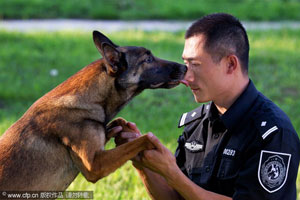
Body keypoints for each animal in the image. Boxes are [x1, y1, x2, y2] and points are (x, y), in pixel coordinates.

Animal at [0, 30, 186, 191]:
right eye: (148, 59)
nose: (184, 68)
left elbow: (117, 124)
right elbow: (145, 138)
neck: (90, 99)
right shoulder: (95, 165)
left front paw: (123, 130)